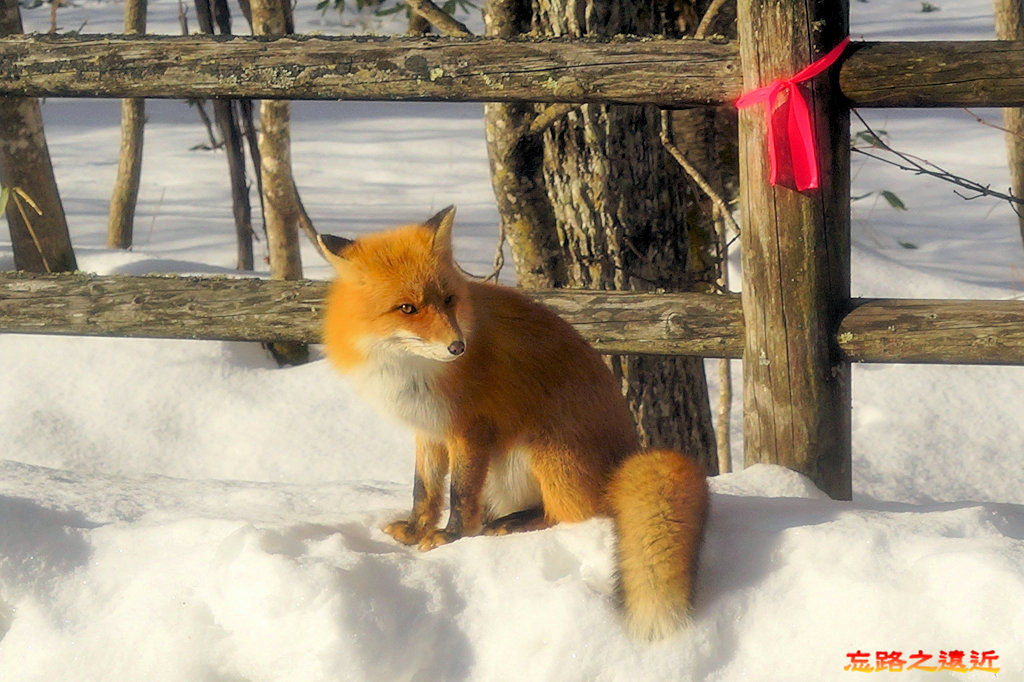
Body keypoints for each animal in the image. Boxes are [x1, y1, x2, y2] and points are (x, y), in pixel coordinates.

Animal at [317, 205, 704, 638]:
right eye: (407, 308)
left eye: (448, 299)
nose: (458, 347)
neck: (412, 371)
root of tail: (624, 463)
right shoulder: (428, 430)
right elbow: (425, 489)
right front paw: (416, 530)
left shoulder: (470, 430)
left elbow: (460, 495)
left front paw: (450, 537)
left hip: (546, 452)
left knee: (575, 514)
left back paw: (512, 524)